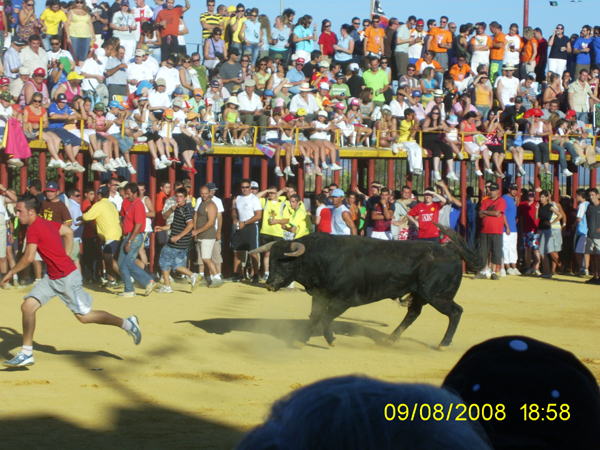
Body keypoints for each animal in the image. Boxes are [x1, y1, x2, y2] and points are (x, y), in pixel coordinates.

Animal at [251, 227, 486, 350]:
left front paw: (332, 340)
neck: (322, 257)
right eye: (271, 259)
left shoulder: (343, 301)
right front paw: (301, 340)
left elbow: (325, 318)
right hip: (420, 294)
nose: (270, 284)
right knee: (413, 313)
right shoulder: (319, 297)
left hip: (437, 295)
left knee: (455, 312)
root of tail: (449, 249)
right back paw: (390, 340)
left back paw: (444, 344)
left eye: (285, 261)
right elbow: (315, 317)